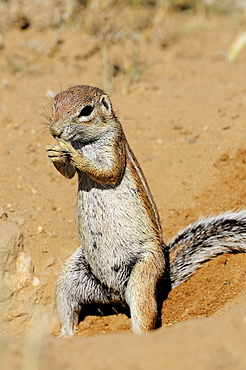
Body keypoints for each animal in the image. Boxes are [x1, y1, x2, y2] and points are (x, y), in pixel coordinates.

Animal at [45, 85, 246, 336]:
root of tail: (115, 295)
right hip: (71, 277)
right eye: (55, 104)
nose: (55, 131)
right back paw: (65, 335)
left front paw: (72, 153)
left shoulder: (114, 145)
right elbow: (68, 173)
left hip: (143, 274)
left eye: (86, 110)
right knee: (68, 308)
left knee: (144, 314)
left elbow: (107, 171)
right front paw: (54, 152)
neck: (86, 141)